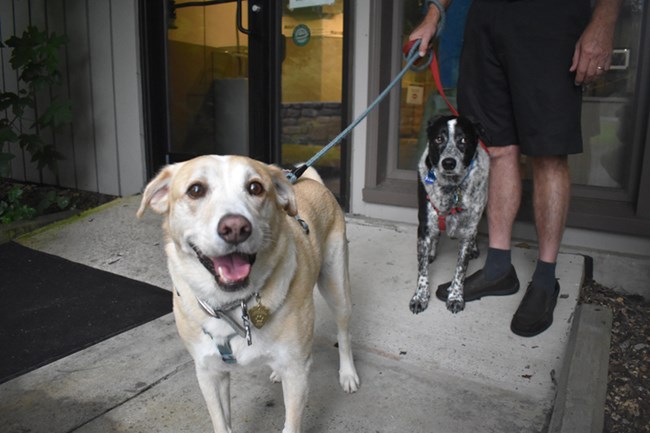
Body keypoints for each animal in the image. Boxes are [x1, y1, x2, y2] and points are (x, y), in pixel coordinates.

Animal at [137, 155, 360, 432]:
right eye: (195, 190)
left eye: (255, 187)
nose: (235, 227)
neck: (234, 303)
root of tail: (311, 181)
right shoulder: (209, 373)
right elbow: (221, 423)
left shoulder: (297, 370)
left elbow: (291, 424)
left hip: (336, 287)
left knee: (344, 333)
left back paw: (348, 374)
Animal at [408, 113, 488, 312]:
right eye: (438, 139)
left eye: (463, 140)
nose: (449, 162)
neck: (452, 189)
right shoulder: (424, 224)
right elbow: (422, 269)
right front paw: (420, 296)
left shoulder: (467, 230)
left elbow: (460, 269)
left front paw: (455, 296)